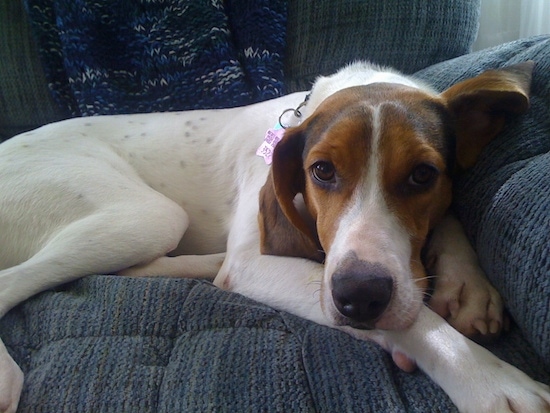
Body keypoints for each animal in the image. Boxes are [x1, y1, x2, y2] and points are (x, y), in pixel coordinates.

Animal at [0, 62, 548, 412]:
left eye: (422, 176)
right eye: (322, 171)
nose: (359, 298)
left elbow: (447, 222)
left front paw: (467, 284)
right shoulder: (258, 263)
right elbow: (419, 321)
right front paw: (490, 379)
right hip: (147, 215)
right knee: (13, 281)